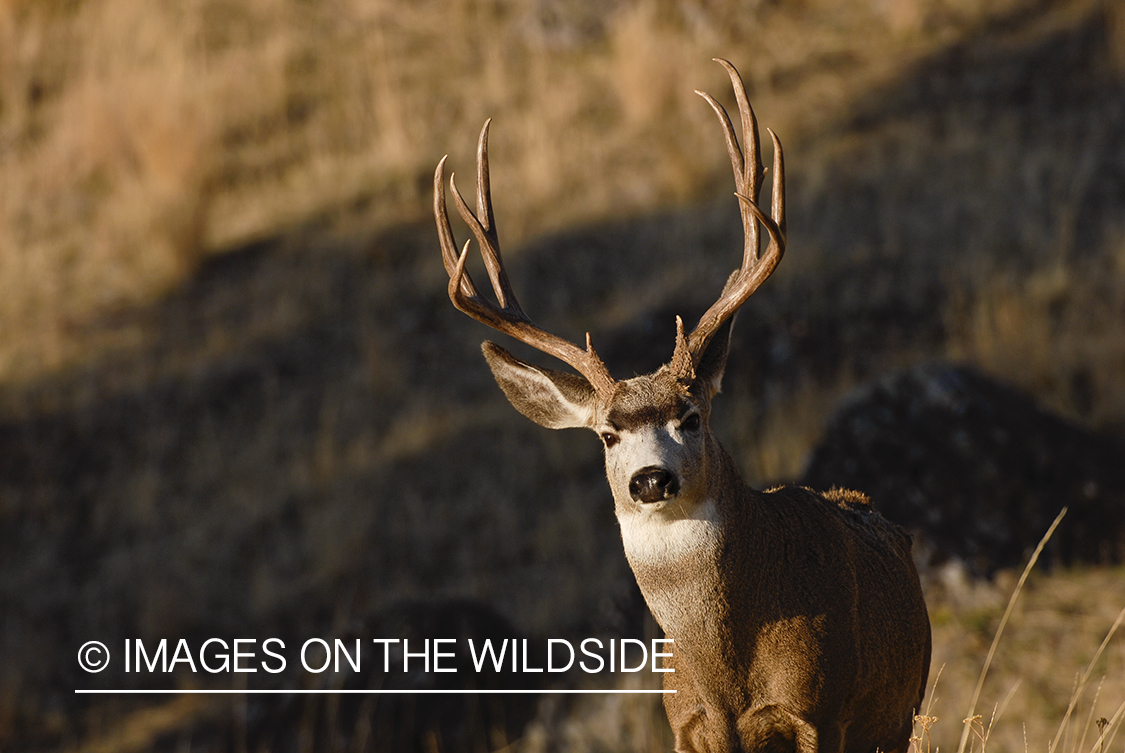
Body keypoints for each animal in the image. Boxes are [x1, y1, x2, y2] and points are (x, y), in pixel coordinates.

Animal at [432, 58, 932, 753]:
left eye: (691, 417)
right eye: (607, 435)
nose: (650, 479)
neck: (729, 674)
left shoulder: (821, 710)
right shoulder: (690, 726)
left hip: (898, 714)